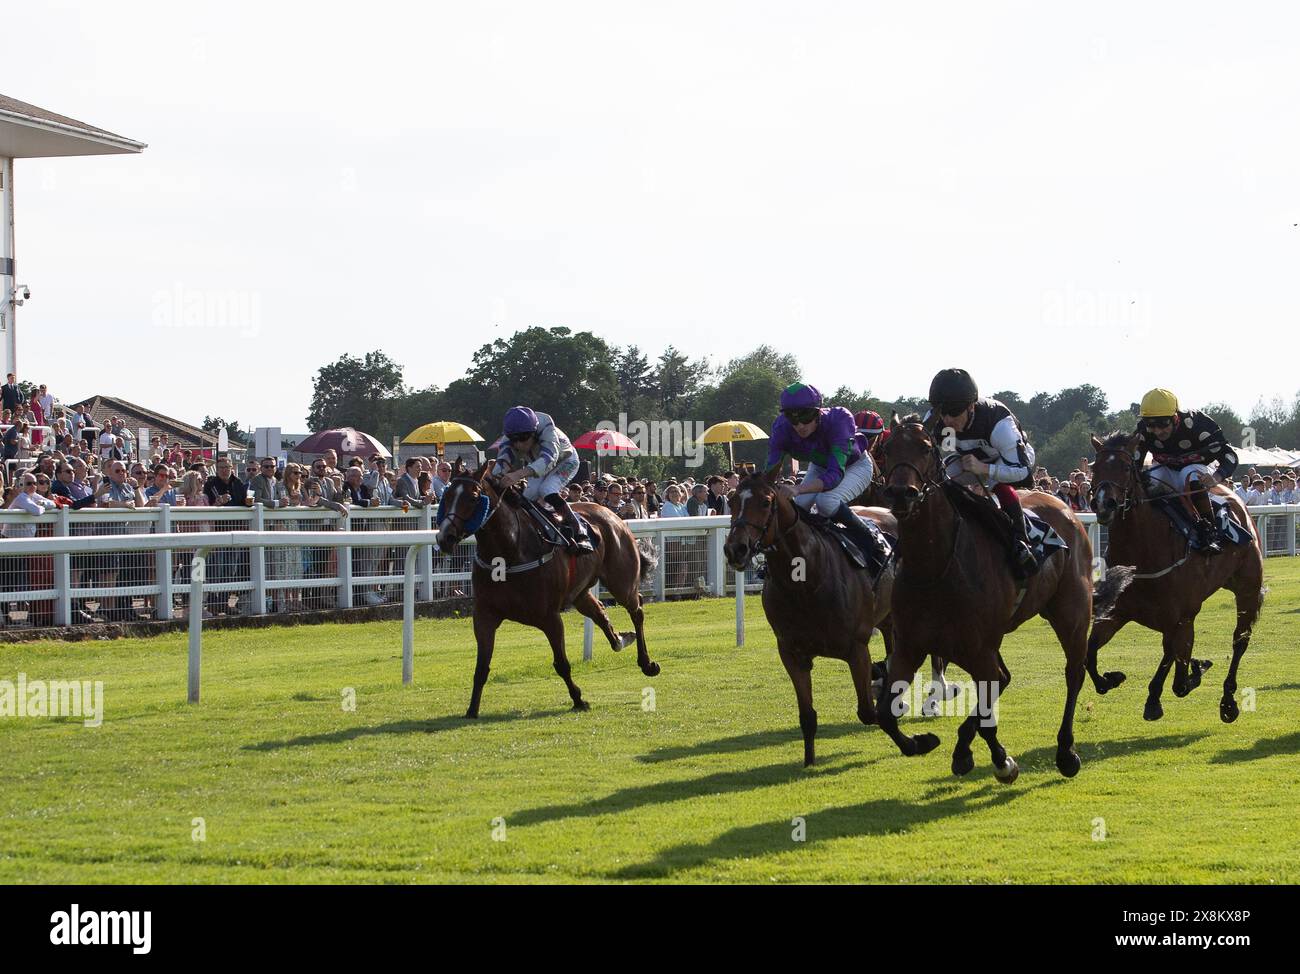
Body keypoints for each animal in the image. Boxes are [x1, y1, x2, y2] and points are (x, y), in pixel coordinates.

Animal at [436, 465, 660, 723]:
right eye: (446, 496)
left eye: (473, 498)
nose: (444, 537)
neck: (510, 551)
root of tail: (613, 515)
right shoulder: (484, 615)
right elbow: (481, 668)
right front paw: (472, 709)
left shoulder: (550, 617)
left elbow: (561, 663)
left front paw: (578, 700)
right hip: (580, 592)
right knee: (599, 611)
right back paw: (620, 639)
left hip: (621, 582)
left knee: (637, 609)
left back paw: (647, 663)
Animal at [722, 465, 894, 769]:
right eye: (731, 501)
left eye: (765, 502)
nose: (735, 549)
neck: (804, 581)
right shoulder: (792, 653)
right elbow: (807, 716)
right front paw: (809, 761)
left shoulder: (856, 648)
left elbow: (868, 711)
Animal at [873, 413, 1118, 780]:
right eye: (887, 449)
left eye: (926, 447)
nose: (902, 493)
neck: (935, 567)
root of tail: (1064, 507)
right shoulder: (910, 645)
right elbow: (886, 713)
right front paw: (925, 742)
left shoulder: (977, 648)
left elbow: (989, 715)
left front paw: (1003, 762)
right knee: (1006, 678)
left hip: (1070, 612)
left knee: (1072, 673)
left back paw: (1065, 751)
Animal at [1081, 434, 1263, 723]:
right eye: (1095, 468)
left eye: (1125, 467)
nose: (1104, 503)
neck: (1143, 553)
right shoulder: (1117, 613)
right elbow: (1090, 653)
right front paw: (1112, 678)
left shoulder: (1177, 618)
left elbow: (1173, 666)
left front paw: (1158, 697)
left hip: (1247, 587)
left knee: (1240, 640)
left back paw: (1228, 701)